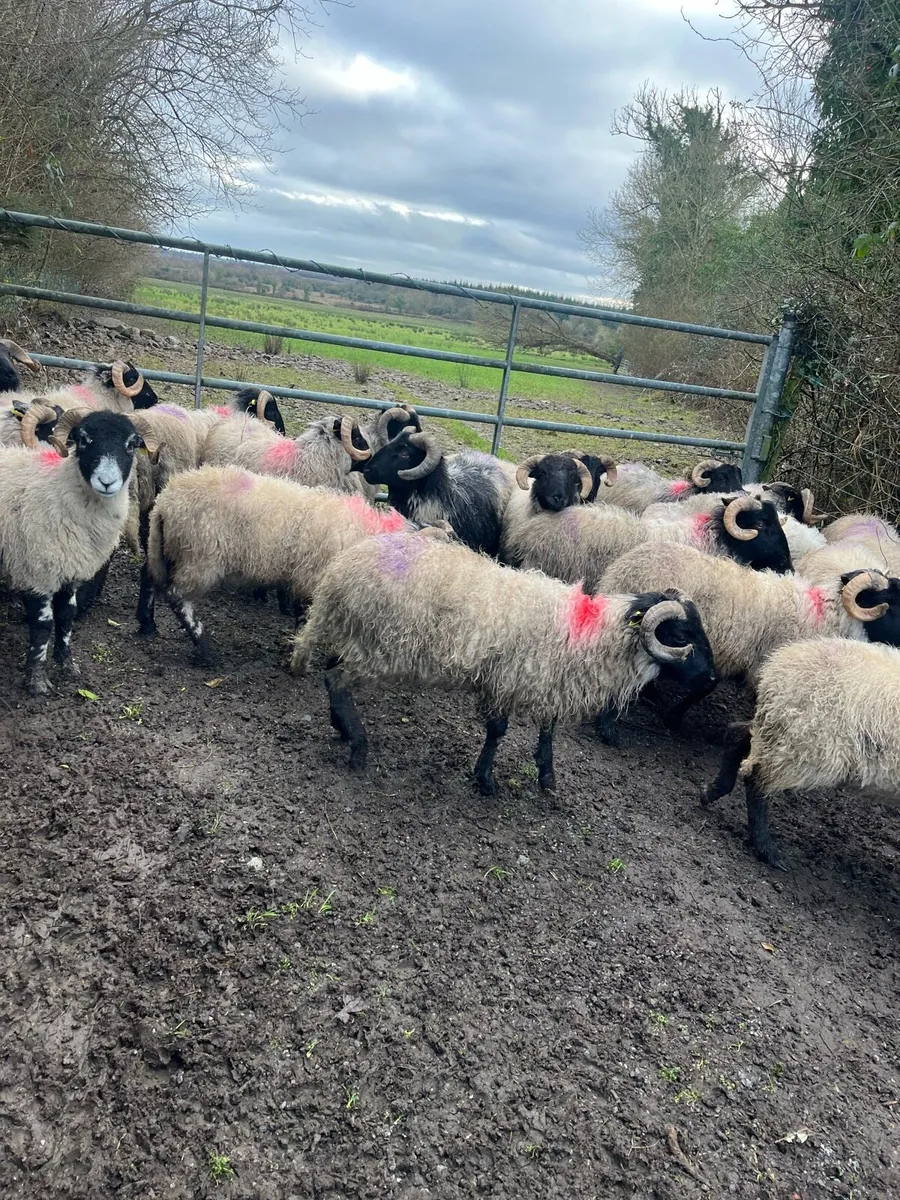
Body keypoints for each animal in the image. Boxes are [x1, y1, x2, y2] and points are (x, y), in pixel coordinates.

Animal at [0, 409, 148, 694]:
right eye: (83, 440)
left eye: (132, 444)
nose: (107, 482)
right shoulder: (36, 571)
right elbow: (43, 626)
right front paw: (37, 680)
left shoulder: (71, 568)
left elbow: (66, 617)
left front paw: (67, 666)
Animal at [144, 466, 435, 664]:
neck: (362, 535)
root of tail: (166, 503)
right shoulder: (311, 579)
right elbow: (304, 617)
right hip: (200, 558)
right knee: (177, 598)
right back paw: (205, 649)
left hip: (164, 551)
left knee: (150, 580)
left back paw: (147, 625)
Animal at [289, 532, 715, 794]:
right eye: (681, 635)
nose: (711, 679)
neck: (588, 634)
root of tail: (340, 571)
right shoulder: (503, 680)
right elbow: (497, 731)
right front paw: (485, 780)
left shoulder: (546, 679)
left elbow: (547, 730)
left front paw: (547, 777)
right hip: (377, 647)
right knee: (336, 680)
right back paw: (358, 749)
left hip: (357, 636)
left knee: (332, 674)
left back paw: (341, 729)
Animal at [702, 638, 900, 869]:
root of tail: (776, 671)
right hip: (805, 744)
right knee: (758, 781)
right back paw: (767, 851)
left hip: (781, 732)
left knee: (737, 735)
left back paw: (711, 791)